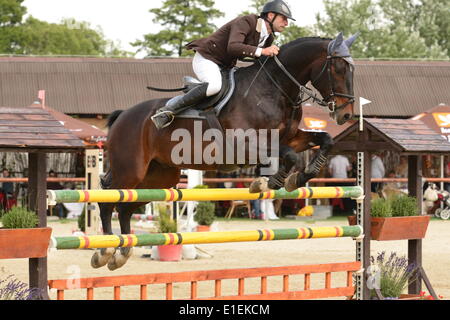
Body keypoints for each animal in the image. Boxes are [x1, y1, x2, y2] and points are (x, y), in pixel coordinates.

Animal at [92, 31, 358, 270]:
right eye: (338, 68)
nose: (346, 115)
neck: (275, 89)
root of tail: (122, 116)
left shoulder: (290, 138)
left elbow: (324, 140)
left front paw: (296, 178)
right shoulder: (246, 143)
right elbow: (290, 156)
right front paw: (270, 182)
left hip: (158, 178)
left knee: (124, 207)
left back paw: (122, 253)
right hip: (131, 170)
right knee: (108, 200)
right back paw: (105, 252)